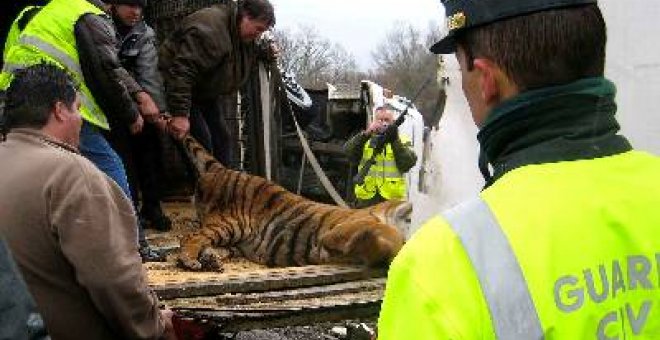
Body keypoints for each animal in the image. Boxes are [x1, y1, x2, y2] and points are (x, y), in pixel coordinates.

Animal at [178, 135, 410, 270]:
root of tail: (221, 169)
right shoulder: (340, 230)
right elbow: (390, 234)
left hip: (235, 238)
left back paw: (211, 260)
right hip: (231, 223)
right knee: (191, 237)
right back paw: (190, 261)